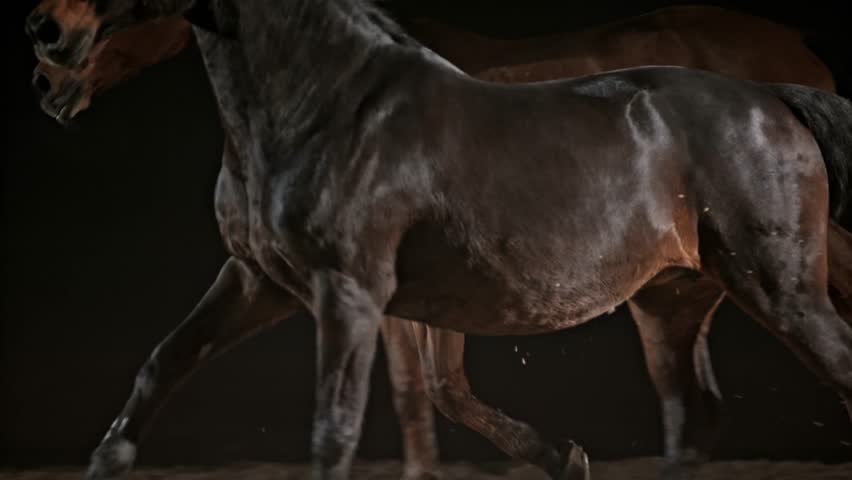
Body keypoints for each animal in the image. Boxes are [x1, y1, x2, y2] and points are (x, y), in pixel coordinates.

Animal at [26, 1, 852, 480]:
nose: (45, 41)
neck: (333, 102)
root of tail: (778, 93)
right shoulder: (258, 280)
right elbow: (164, 364)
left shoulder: (357, 291)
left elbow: (370, 414)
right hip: (670, 302)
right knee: (694, 417)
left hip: (780, 283)